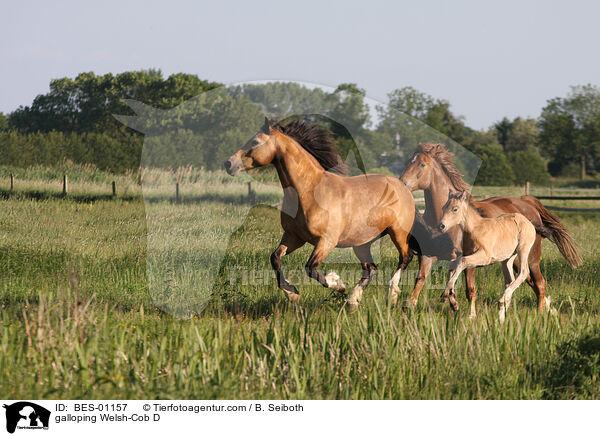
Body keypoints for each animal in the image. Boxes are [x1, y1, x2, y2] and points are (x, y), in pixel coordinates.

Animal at [225, 117, 418, 312]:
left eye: (255, 142)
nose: (228, 164)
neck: (309, 192)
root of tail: (402, 186)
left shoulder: (326, 241)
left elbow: (310, 268)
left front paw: (337, 283)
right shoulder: (294, 237)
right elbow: (275, 258)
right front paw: (292, 293)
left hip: (398, 233)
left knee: (405, 257)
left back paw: (391, 295)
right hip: (362, 243)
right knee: (370, 268)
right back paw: (352, 302)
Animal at [440, 192, 540, 322]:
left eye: (455, 209)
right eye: (443, 208)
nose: (441, 226)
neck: (475, 229)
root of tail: (529, 222)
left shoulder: (485, 257)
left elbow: (462, 262)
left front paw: (449, 292)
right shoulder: (468, 254)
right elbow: (453, 264)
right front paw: (449, 298)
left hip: (523, 249)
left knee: (524, 272)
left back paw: (503, 299)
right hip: (507, 259)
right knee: (510, 280)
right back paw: (500, 316)